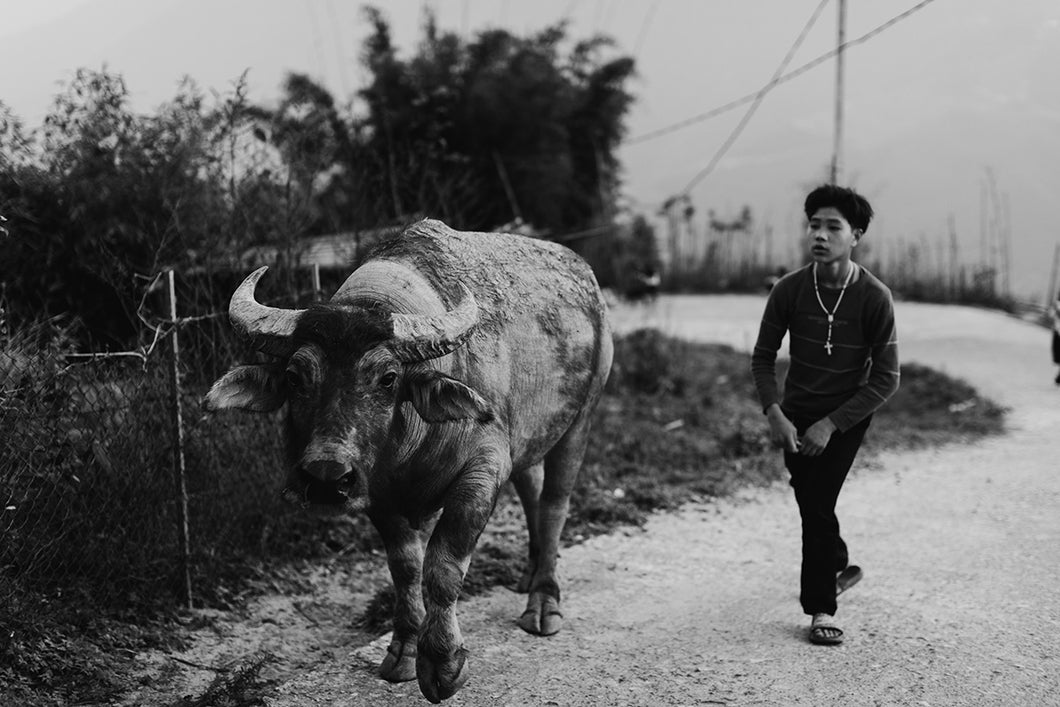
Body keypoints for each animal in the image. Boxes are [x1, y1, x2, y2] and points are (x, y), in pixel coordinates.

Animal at [202, 219, 614, 703]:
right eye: (294, 376)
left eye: (388, 378)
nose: (325, 477)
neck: (410, 446)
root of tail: (588, 282)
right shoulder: (377, 496)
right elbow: (404, 567)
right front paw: (402, 652)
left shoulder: (483, 468)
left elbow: (442, 565)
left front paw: (442, 662)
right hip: (531, 438)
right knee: (531, 493)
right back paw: (529, 576)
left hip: (581, 419)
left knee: (554, 505)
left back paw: (544, 601)